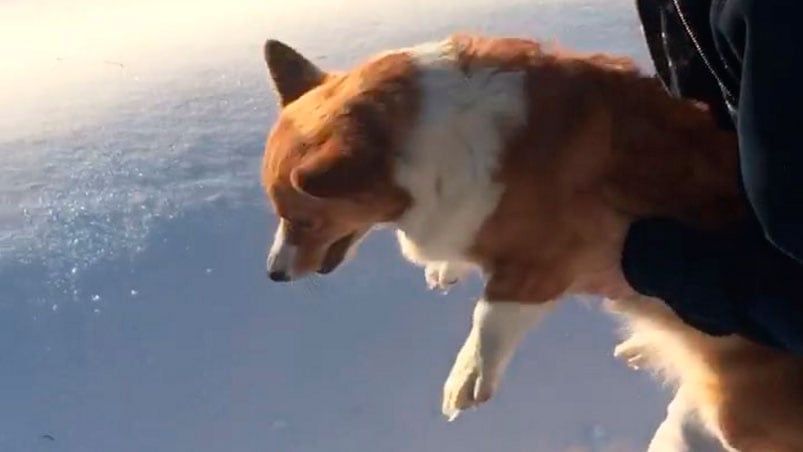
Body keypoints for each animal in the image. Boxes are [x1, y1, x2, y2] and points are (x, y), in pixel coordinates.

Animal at [258, 33, 803, 450]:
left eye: (302, 220)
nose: (273, 275)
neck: (431, 143)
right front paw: (448, 267)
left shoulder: (554, 256)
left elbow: (492, 312)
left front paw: (468, 376)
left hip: (728, 418)